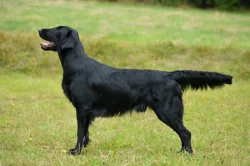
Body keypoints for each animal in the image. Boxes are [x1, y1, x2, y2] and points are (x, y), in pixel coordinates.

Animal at [38, 26, 231, 156]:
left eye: (57, 29)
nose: (40, 29)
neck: (77, 64)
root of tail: (169, 75)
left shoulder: (82, 108)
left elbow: (79, 132)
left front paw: (75, 152)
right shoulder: (87, 112)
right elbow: (85, 134)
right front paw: (81, 149)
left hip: (167, 111)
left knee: (185, 132)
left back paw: (185, 154)